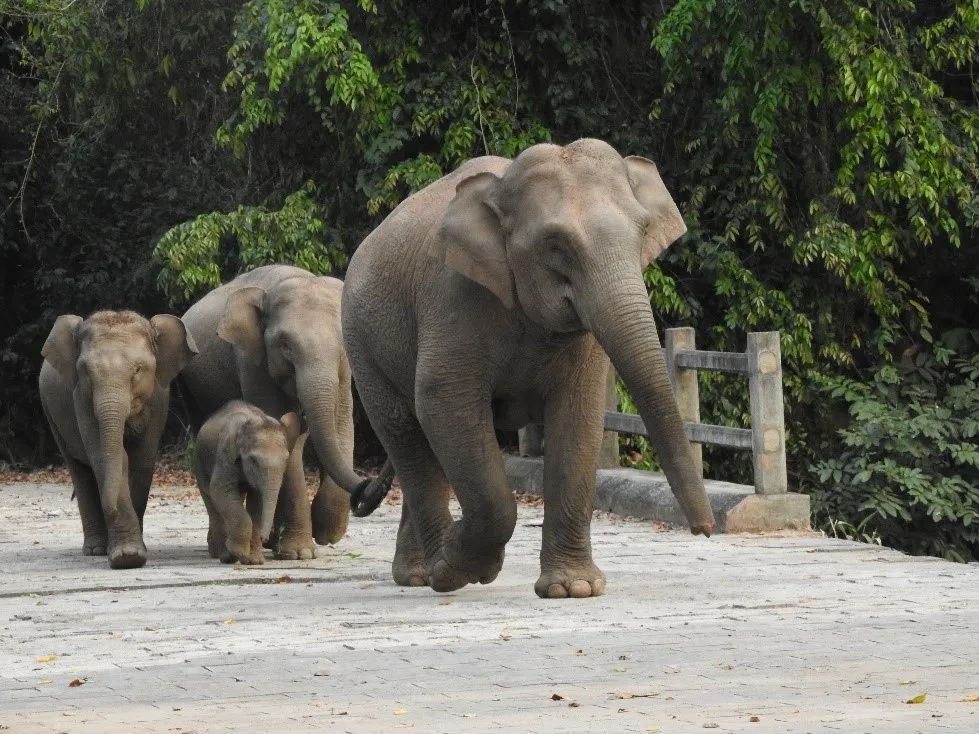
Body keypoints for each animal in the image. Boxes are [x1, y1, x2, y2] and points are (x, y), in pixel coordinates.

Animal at [39, 310, 199, 568]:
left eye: (138, 369)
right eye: (85, 371)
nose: (111, 510)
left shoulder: (158, 399)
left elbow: (141, 460)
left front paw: (132, 555)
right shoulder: (81, 400)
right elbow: (108, 458)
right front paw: (127, 557)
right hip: (50, 413)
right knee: (80, 472)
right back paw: (95, 550)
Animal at [193, 406, 304, 568]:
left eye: (286, 460)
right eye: (253, 460)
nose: (266, 539)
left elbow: (256, 501)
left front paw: (253, 561)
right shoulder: (225, 454)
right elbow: (220, 490)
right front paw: (238, 551)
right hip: (199, 462)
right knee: (211, 500)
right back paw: (225, 555)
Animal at [344, 137, 712, 600]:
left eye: (643, 231)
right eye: (554, 245)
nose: (706, 530)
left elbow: (578, 413)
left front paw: (573, 589)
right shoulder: (452, 296)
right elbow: (441, 401)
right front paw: (460, 568)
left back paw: (419, 574)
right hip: (361, 344)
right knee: (406, 433)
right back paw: (430, 573)